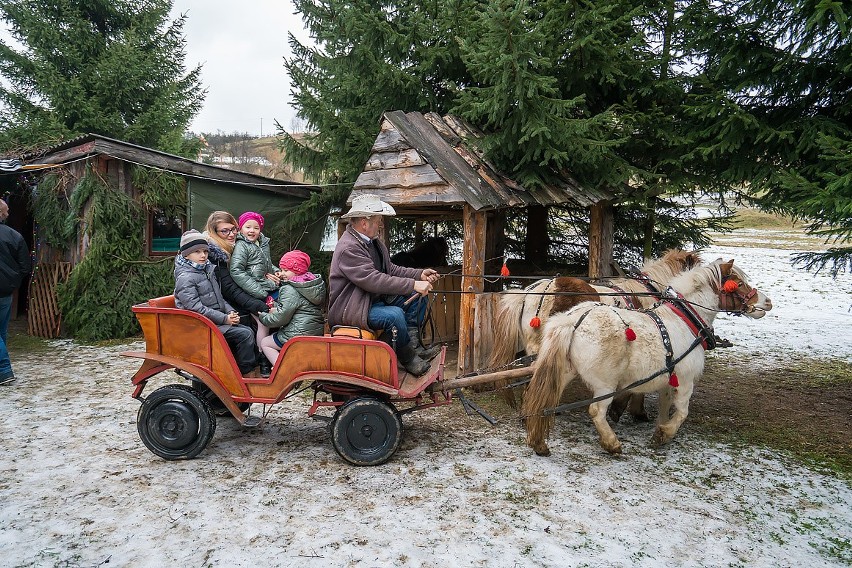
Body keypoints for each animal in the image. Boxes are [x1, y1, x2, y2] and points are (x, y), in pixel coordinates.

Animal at [520, 258, 772, 458]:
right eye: (739, 283)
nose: (767, 302)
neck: (684, 318)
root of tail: (573, 319)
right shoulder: (685, 379)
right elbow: (682, 411)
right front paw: (664, 434)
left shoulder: (668, 379)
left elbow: (665, 405)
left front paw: (658, 424)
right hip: (604, 384)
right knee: (595, 411)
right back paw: (612, 443)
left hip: (563, 371)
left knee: (543, 400)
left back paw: (538, 442)